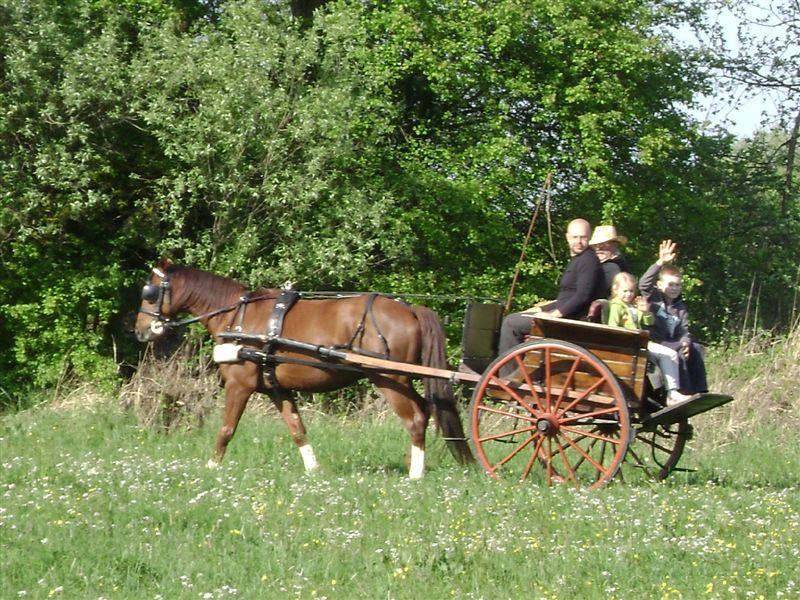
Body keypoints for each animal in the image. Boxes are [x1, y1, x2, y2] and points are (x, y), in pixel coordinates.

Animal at [134, 258, 472, 478]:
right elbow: (297, 428)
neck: (237, 316)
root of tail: (410, 310)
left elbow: (226, 429)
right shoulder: (276, 388)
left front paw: (211, 467)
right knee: (424, 411)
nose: (140, 330)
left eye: (149, 292)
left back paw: (415, 474)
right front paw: (313, 470)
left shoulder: (240, 385)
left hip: (389, 377)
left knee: (415, 418)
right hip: (400, 379)